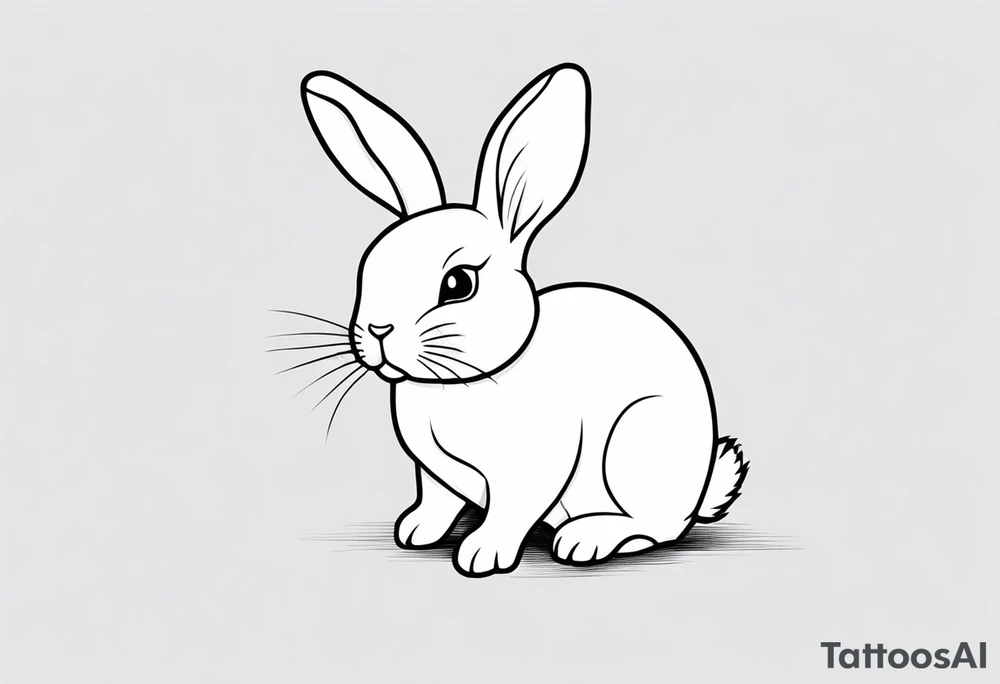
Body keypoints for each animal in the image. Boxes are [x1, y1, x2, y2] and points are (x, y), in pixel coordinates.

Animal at [299, 63, 748, 577]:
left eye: (458, 283)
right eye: (369, 267)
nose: (378, 332)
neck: (460, 382)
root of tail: (697, 493)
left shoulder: (533, 466)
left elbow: (511, 510)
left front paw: (481, 554)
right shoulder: (433, 473)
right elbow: (437, 499)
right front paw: (415, 531)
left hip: (637, 442)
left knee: (654, 527)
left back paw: (586, 538)